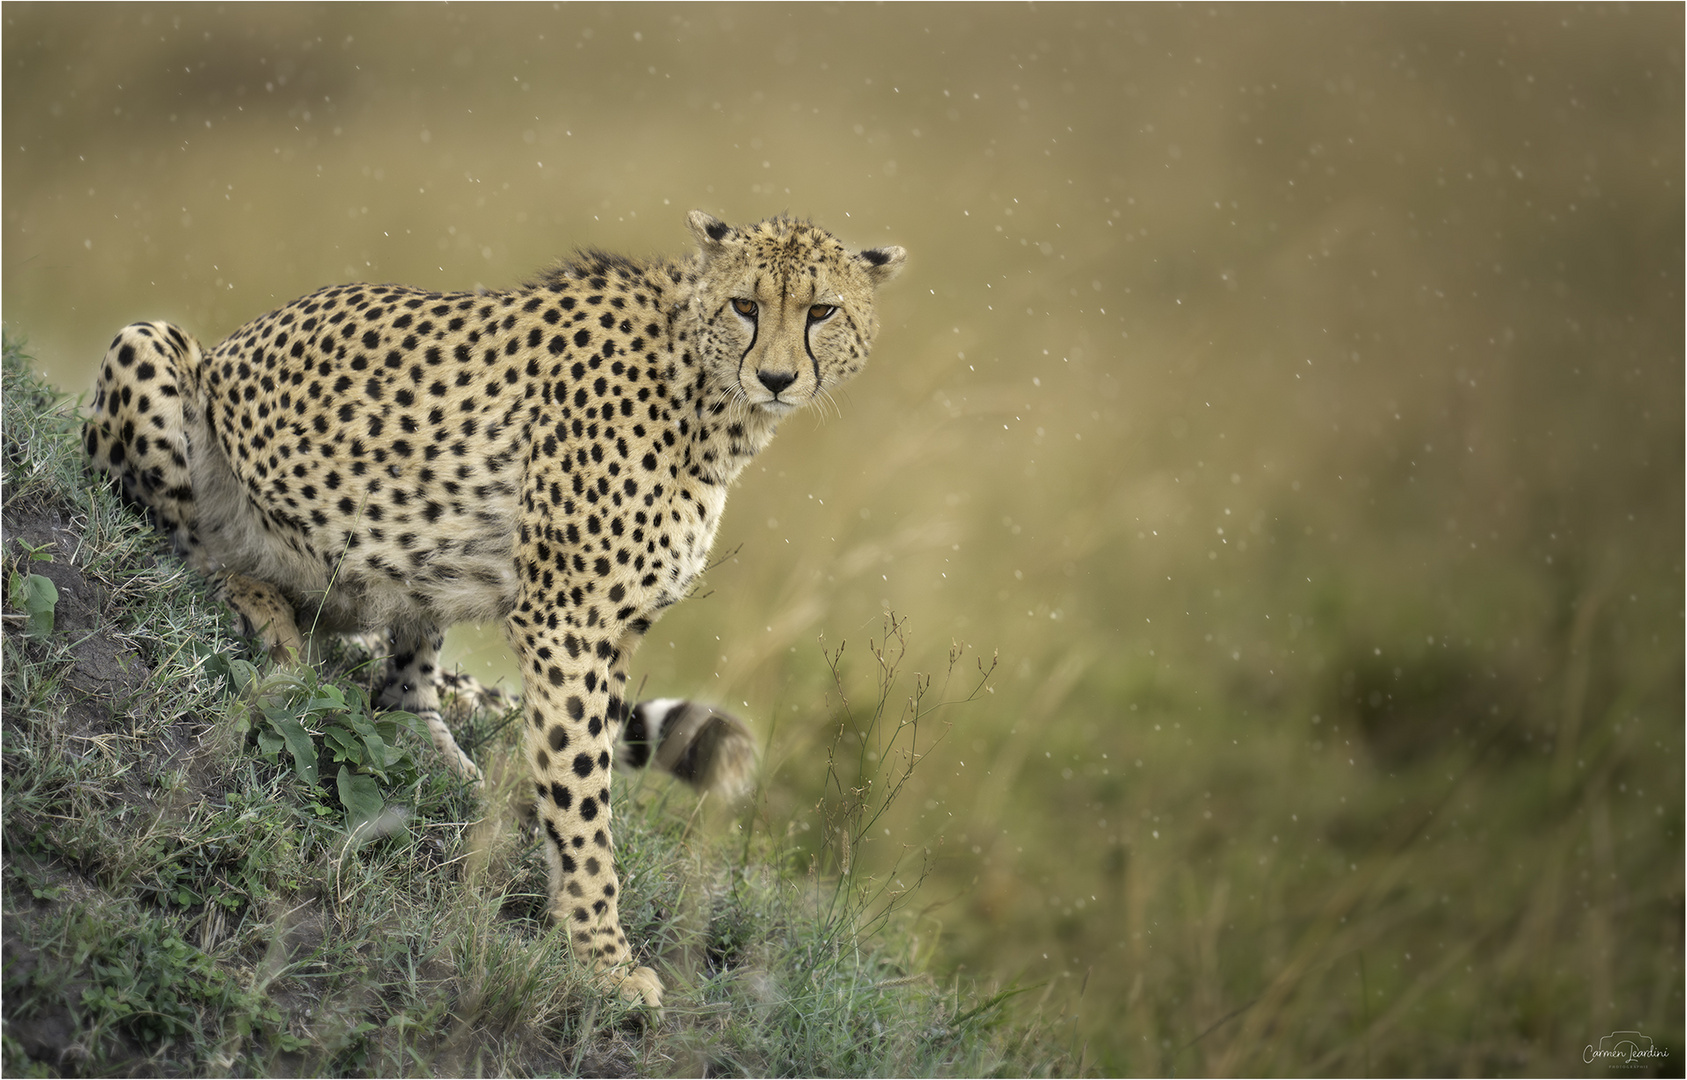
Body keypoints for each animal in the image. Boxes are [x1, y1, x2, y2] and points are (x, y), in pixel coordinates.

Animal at [88, 210, 910, 1005]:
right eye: (746, 305)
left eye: (821, 311)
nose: (775, 376)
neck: (708, 395)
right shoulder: (568, 623)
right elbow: (583, 798)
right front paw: (603, 958)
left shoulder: (614, 631)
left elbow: (581, 769)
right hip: (150, 345)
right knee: (185, 541)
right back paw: (257, 599)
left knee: (400, 690)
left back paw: (449, 767)